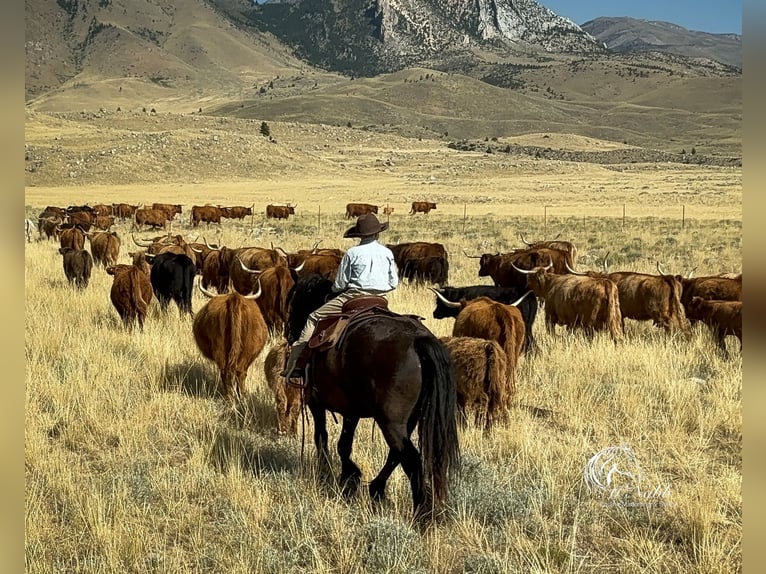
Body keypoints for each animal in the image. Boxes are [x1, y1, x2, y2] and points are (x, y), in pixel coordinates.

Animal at [284, 274, 460, 520]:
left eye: (295, 299)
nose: (289, 333)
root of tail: (419, 341)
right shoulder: (352, 410)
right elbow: (344, 444)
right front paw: (349, 478)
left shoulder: (315, 402)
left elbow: (323, 438)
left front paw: (330, 476)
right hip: (408, 420)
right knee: (396, 454)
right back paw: (377, 489)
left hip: (390, 421)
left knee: (411, 459)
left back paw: (421, 515)